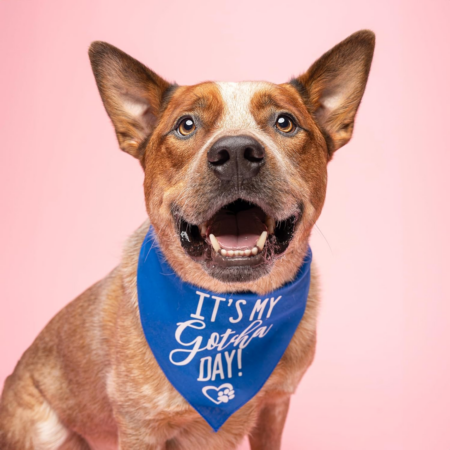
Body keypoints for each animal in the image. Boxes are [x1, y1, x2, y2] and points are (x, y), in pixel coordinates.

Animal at [0, 29, 372, 448]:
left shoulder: (276, 404)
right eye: (186, 125)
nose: (237, 151)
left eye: (285, 122)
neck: (229, 308)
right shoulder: (140, 427)